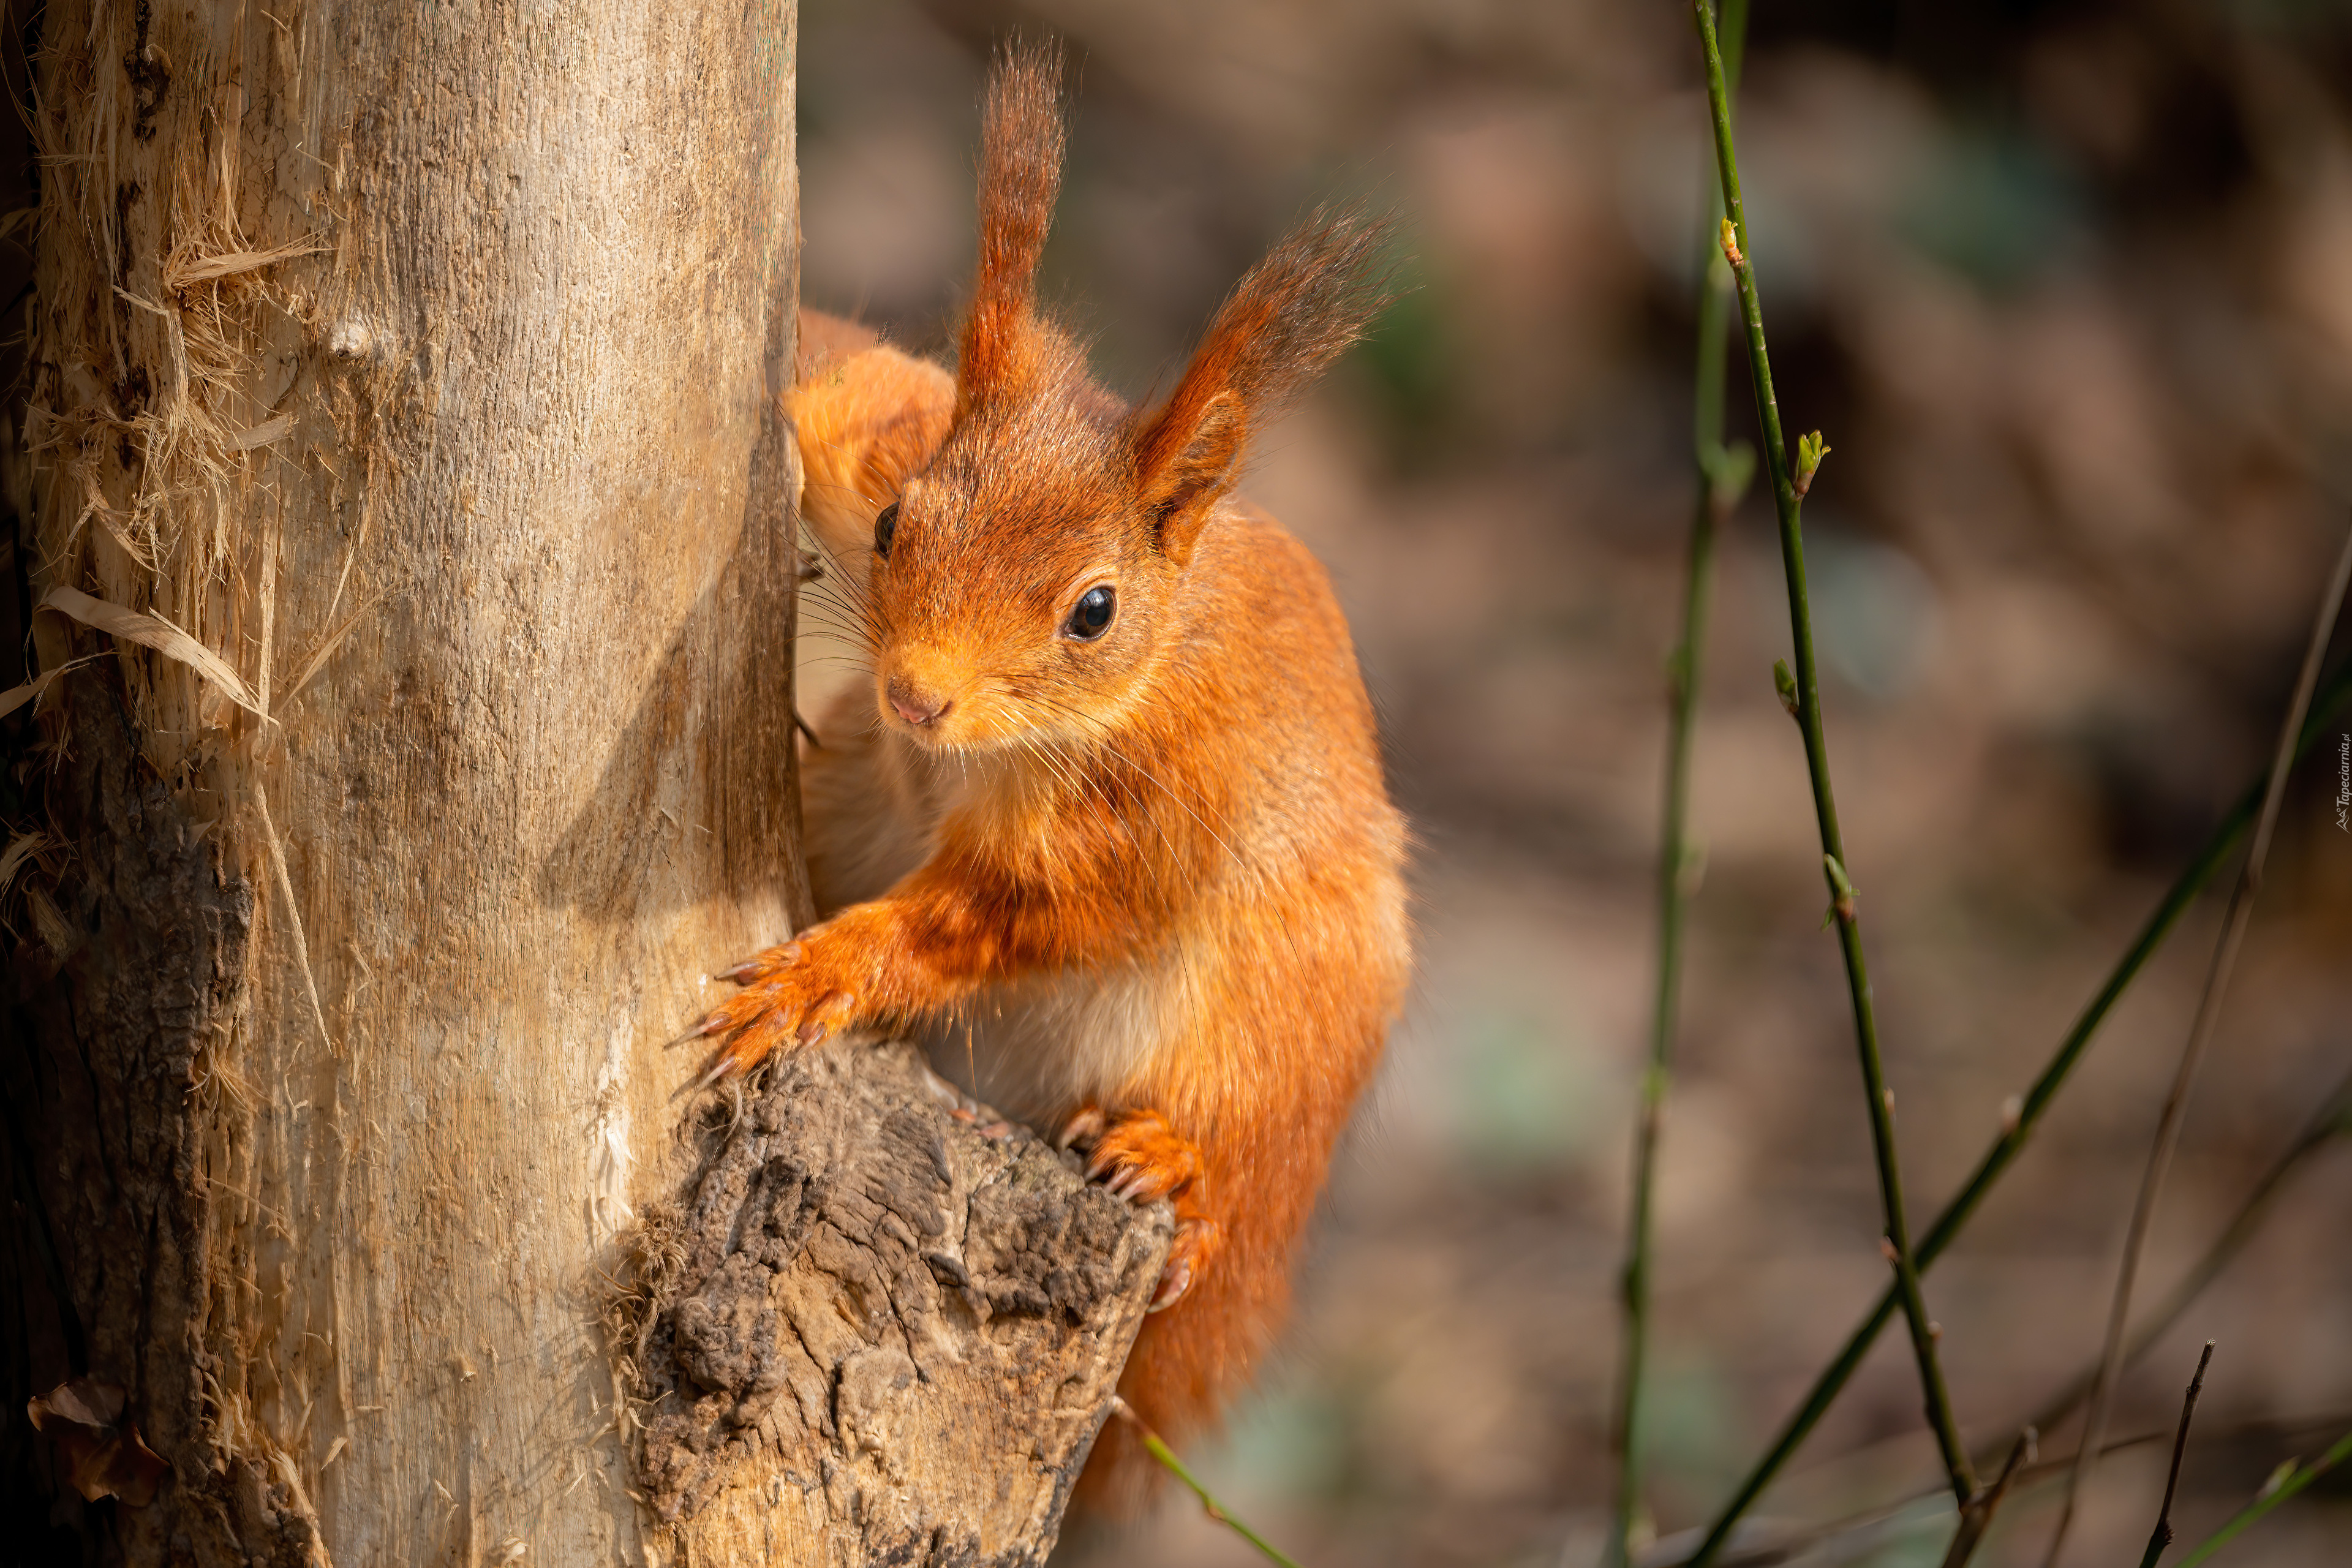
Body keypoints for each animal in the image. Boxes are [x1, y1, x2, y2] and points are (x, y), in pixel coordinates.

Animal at [687, 46, 1401, 1504]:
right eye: (895, 523)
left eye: (1094, 611)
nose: (915, 695)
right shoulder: (868, 433)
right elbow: (843, 380)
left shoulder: (1146, 813)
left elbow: (1005, 914)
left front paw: (815, 976)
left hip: (1287, 1019)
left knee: (1237, 1162)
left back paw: (1174, 1170)